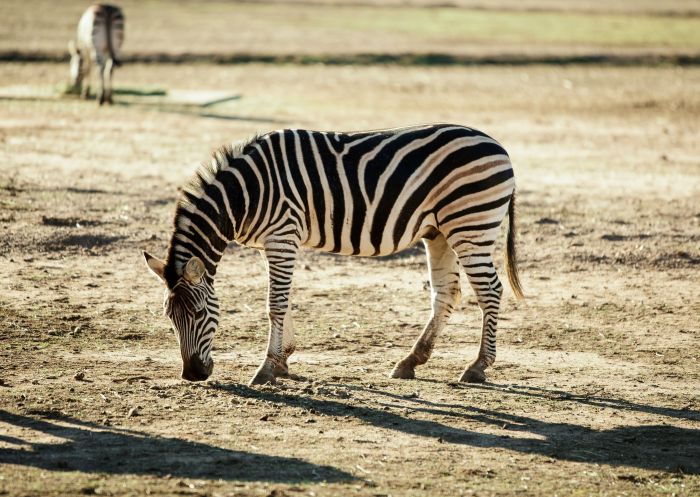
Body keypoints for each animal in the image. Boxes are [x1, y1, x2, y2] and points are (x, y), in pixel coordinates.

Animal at [143, 124, 524, 384]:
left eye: (197, 312)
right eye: (168, 316)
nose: (192, 375)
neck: (245, 194)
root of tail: (499, 145)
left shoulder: (282, 235)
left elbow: (274, 303)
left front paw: (267, 368)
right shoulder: (280, 241)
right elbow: (284, 299)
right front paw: (284, 360)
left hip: (471, 225)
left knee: (491, 291)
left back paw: (477, 367)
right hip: (440, 232)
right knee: (446, 294)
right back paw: (410, 362)